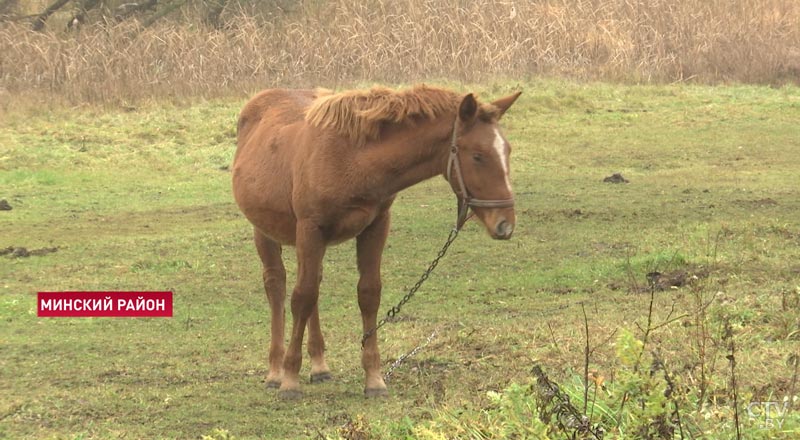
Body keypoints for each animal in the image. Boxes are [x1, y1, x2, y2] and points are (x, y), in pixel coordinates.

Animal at [230, 83, 524, 398]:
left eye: (507, 150)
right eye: (478, 155)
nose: (505, 224)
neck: (351, 156)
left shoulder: (376, 226)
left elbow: (367, 293)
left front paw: (374, 379)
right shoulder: (310, 229)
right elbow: (301, 297)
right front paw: (289, 380)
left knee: (313, 284)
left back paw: (319, 366)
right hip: (266, 232)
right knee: (277, 287)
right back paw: (275, 371)